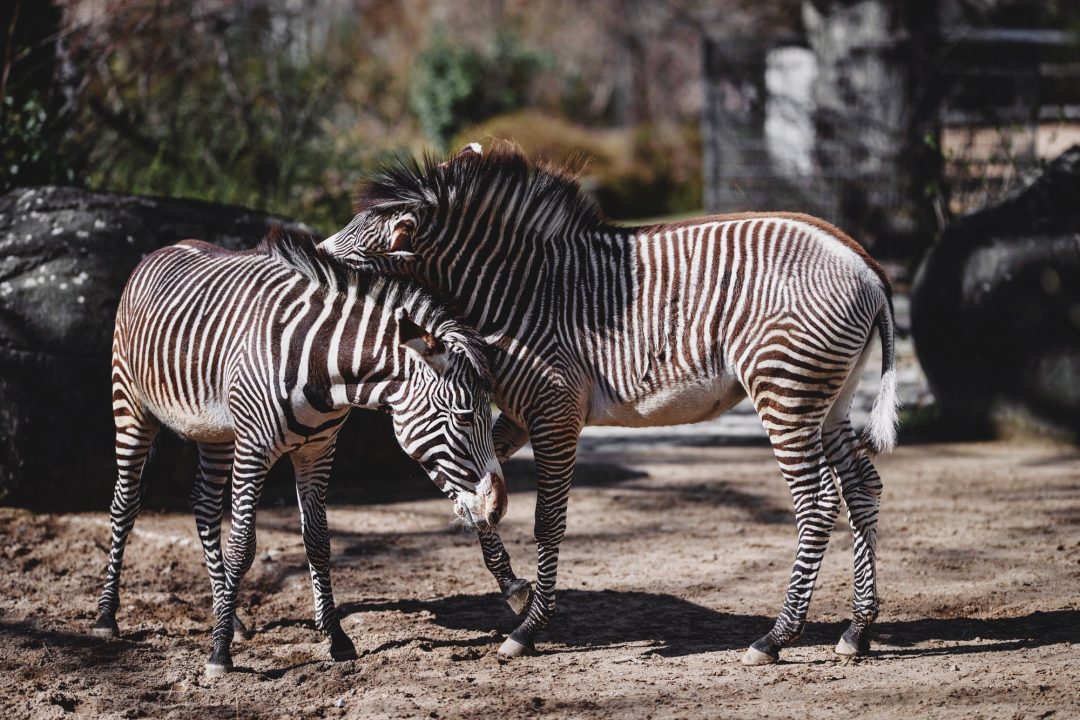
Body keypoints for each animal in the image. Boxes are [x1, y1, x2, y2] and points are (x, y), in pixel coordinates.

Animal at [91, 228, 506, 677]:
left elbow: (318, 541)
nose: (497, 508)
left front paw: (336, 638)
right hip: (131, 405)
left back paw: (230, 615)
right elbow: (243, 545)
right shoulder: (253, 448)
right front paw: (219, 653)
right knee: (125, 503)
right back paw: (107, 616)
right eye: (464, 416)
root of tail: (166, 248)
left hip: (215, 432)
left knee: (203, 505)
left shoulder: (319, 451)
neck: (324, 368)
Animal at [319, 143, 899, 665]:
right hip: (830, 400)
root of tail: (866, 264)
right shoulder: (517, 417)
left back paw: (776, 638)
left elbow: (547, 520)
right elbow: (478, 495)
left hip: (786, 391)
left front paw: (528, 629)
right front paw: (513, 588)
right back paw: (857, 630)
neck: (514, 294)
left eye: (350, 265)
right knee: (862, 487)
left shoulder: (555, 414)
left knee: (817, 502)